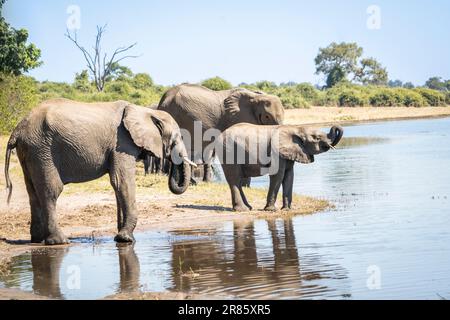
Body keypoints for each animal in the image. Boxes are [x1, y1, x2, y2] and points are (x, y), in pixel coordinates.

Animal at [4, 99, 195, 244]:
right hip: (42, 150)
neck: (145, 111)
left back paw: (37, 240)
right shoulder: (122, 143)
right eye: (178, 138)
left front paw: (121, 238)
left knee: (33, 192)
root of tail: (17, 129)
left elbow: (117, 184)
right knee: (51, 191)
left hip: (30, 152)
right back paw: (60, 241)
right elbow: (122, 181)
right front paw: (127, 239)